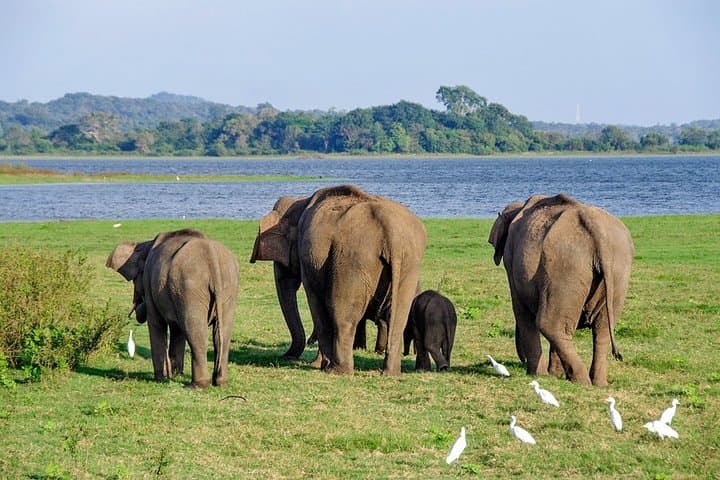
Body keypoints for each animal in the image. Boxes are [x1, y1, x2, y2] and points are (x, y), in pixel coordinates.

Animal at [107, 229, 239, 388]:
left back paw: (196, 386)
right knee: (223, 332)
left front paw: (161, 378)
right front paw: (176, 374)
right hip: (228, 286)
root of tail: (211, 256)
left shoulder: (151, 284)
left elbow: (156, 324)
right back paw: (220, 382)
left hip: (190, 287)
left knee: (195, 331)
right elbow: (177, 330)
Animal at [250, 184, 427, 375]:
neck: (300, 201)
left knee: (342, 314)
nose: (285, 356)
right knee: (398, 315)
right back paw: (390, 373)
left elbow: (316, 302)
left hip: (351, 261)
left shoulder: (309, 259)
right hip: (409, 263)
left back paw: (338, 370)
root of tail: (391, 232)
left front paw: (319, 365)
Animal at [488, 193, 634, 386]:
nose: (522, 359)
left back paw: (580, 381)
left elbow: (521, 310)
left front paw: (538, 375)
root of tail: (597, 230)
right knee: (600, 329)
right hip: (617, 270)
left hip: (565, 267)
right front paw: (554, 374)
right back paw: (598, 383)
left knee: (549, 324)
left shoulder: (510, 263)